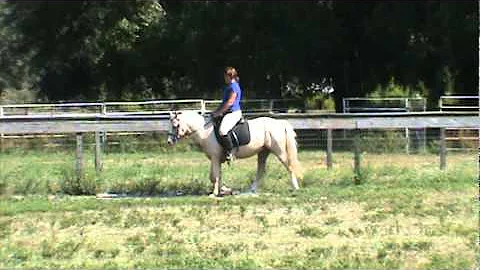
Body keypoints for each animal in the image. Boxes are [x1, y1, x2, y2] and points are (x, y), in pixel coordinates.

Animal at [169, 110, 304, 197]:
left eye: (175, 125)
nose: (169, 141)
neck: (204, 130)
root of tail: (280, 123)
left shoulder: (214, 157)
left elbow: (213, 176)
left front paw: (215, 193)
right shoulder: (217, 159)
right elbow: (218, 175)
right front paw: (224, 190)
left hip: (279, 151)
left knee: (289, 166)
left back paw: (296, 188)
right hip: (263, 152)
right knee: (261, 170)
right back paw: (252, 189)